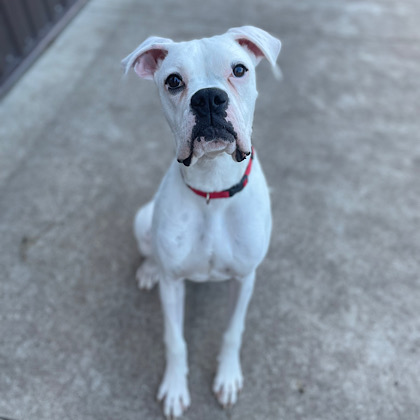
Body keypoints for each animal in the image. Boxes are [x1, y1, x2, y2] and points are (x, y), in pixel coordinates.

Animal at [122, 26, 281, 418]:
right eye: (173, 81)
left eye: (239, 70)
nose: (208, 98)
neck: (213, 187)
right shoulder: (172, 285)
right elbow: (174, 340)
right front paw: (175, 388)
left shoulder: (245, 279)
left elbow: (233, 331)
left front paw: (227, 378)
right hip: (142, 219)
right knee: (151, 253)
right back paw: (149, 269)